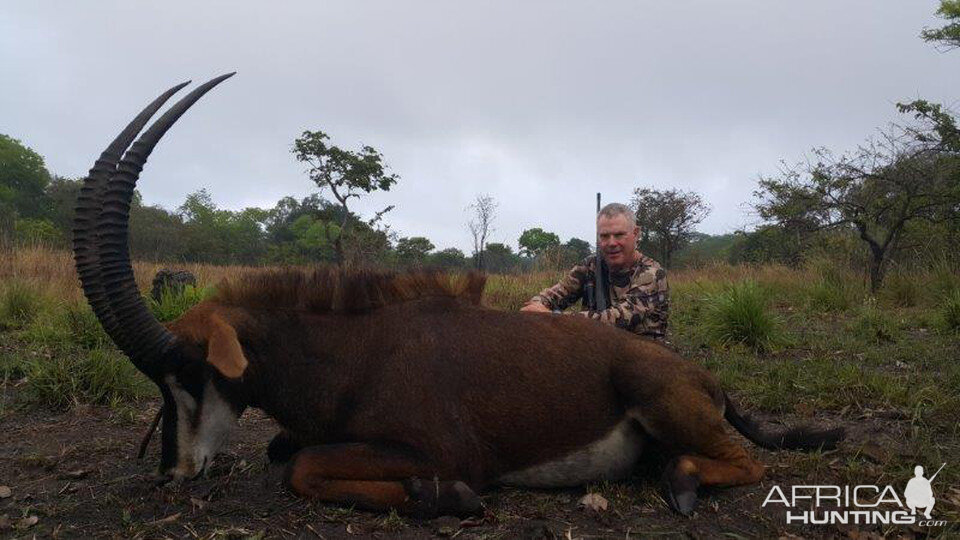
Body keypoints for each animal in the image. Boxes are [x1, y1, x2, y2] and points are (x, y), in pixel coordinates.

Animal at [71, 74, 844, 516]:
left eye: (187, 372)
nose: (172, 474)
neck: (348, 352)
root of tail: (705, 378)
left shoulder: (438, 448)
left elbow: (304, 468)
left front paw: (443, 499)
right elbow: (283, 455)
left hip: (661, 400)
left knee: (750, 464)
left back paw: (679, 483)